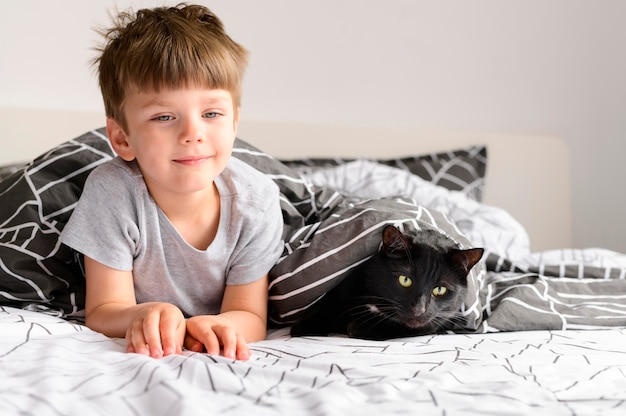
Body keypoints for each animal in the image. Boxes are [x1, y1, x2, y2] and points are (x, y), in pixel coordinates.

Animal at [288, 226, 482, 340]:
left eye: (440, 290)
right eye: (405, 280)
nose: (419, 310)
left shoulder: (439, 320)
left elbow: (409, 327)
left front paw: (361, 327)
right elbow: (329, 303)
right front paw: (306, 325)